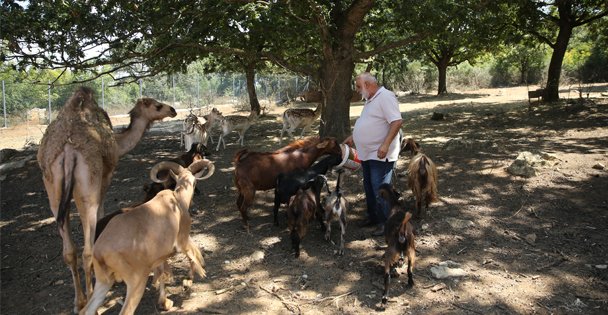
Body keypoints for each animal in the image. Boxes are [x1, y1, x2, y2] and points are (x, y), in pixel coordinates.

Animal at [37, 86, 177, 314]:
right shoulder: (106, 177)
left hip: (52, 188)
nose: (173, 110)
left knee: (69, 250)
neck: (118, 143)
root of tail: (68, 150)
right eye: (157, 105)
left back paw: (79, 302)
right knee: (87, 249)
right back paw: (93, 302)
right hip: (88, 185)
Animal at [79, 160, 215, 315]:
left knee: (87, 310)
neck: (177, 200)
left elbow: (162, 273)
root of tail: (99, 252)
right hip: (136, 281)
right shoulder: (183, 240)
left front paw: (165, 302)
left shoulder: (159, 256)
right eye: (194, 182)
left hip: (103, 281)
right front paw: (191, 280)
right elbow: (193, 256)